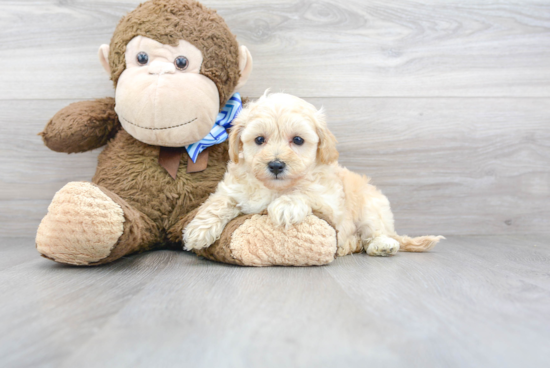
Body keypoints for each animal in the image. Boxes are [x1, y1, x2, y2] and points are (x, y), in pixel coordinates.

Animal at [185, 92, 444, 256]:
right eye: (259, 140)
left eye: (298, 140)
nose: (276, 165)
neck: (274, 188)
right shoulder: (231, 188)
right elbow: (218, 202)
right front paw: (199, 230)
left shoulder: (329, 202)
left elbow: (304, 193)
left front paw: (286, 206)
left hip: (372, 207)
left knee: (374, 232)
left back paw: (380, 245)